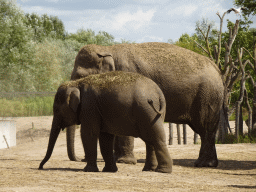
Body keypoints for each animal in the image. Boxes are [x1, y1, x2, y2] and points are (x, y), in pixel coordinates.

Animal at [38, 71, 172, 173]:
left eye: (56, 109)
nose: (40, 167)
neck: (77, 83)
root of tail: (159, 93)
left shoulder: (89, 106)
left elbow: (89, 134)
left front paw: (89, 170)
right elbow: (105, 138)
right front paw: (110, 170)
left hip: (147, 111)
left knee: (156, 138)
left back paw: (163, 171)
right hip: (152, 114)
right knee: (150, 140)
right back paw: (148, 170)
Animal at [66, 41, 224, 166]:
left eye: (80, 77)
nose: (81, 159)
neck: (108, 48)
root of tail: (217, 68)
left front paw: (124, 162)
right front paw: (118, 159)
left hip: (208, 96)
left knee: (205, 128)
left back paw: (203, 164)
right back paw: (207, 163)